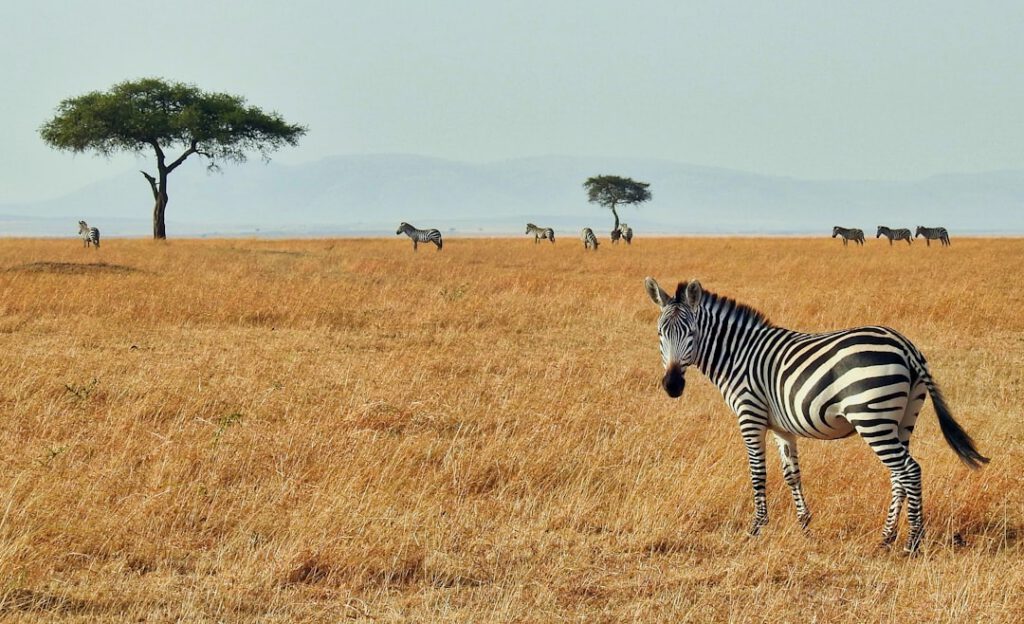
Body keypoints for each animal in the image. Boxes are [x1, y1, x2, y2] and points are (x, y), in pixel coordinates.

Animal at [644, 277, 988, 553]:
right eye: (660, 333)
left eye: (691, 332)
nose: (672, 385)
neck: (738, 355)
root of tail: (905, 346)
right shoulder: (782, 426)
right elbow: (792, 474)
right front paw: (804, 525)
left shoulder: (750, 415)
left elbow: (758, 474)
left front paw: (756, 528)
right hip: (903, 419)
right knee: (899, 475)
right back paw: (886, 537)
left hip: (871, 417)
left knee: (910, 471)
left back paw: (912, 542)